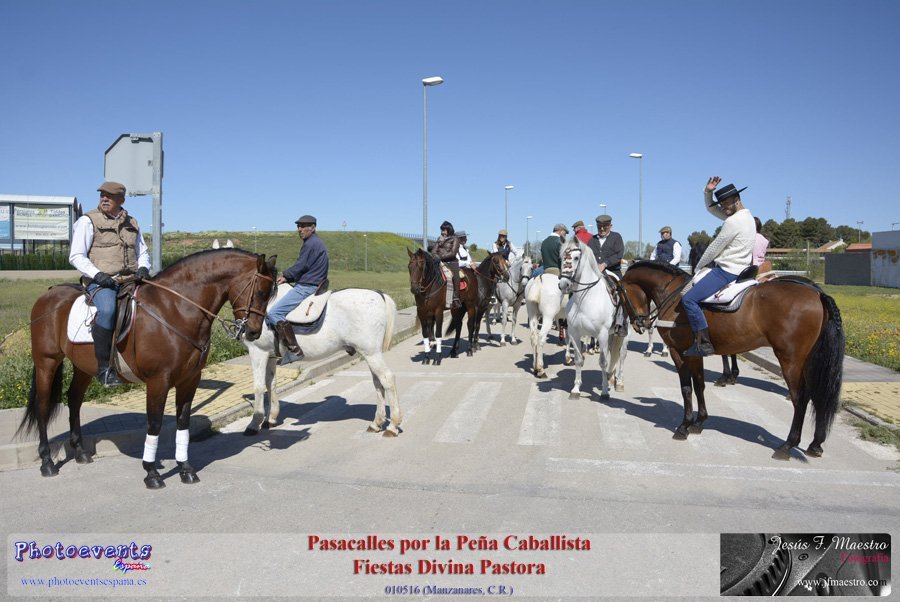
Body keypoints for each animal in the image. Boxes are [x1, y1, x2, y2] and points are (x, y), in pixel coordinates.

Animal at [18, 249, 277, 488]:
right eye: (261, 292)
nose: (254, 332)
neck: (176, 309)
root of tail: (49, 294)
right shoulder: (158, 381)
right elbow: (154, 424)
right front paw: (151, 472)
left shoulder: (190, 379)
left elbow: (183, 423)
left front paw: (185, 468)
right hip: (46, 362)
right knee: (43, 407)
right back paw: (47, 462)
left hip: (83, 367)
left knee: (74, 400)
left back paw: (80, 452)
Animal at [241, 286, 401, 436]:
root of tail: (378, 294)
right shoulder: (270, 356)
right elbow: (271, 384)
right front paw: (270, 419)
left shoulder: (258, 352)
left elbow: (258, 387)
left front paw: (254, 424)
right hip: (370, 354)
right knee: (377, 382)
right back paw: (376, 423)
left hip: (371, 353)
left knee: (387, 379)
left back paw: (393, 425)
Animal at [558, 239, 627, 400]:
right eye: (562, 258)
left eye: (576, 258)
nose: (563, 284)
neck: (585, 299)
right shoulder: (574, 333)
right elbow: (578, 360)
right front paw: (576, 389)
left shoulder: (601, 335)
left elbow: (603, 362)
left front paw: (604, 392)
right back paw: (611, 377)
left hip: (623, 335)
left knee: (621, 355)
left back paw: (619, 383)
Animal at [619, 261, 844, 459]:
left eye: (621, 294)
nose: (638, 324)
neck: (673, 294)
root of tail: (818, 294)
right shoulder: (695, 354)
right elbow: (699, 385)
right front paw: (699, 422)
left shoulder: (679, 352)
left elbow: (686, 388)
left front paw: (684, 426)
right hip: (810, 362)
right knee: (818, 396)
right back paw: (815, 444)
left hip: (791, 360)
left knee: (800, 399)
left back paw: (788, 445)